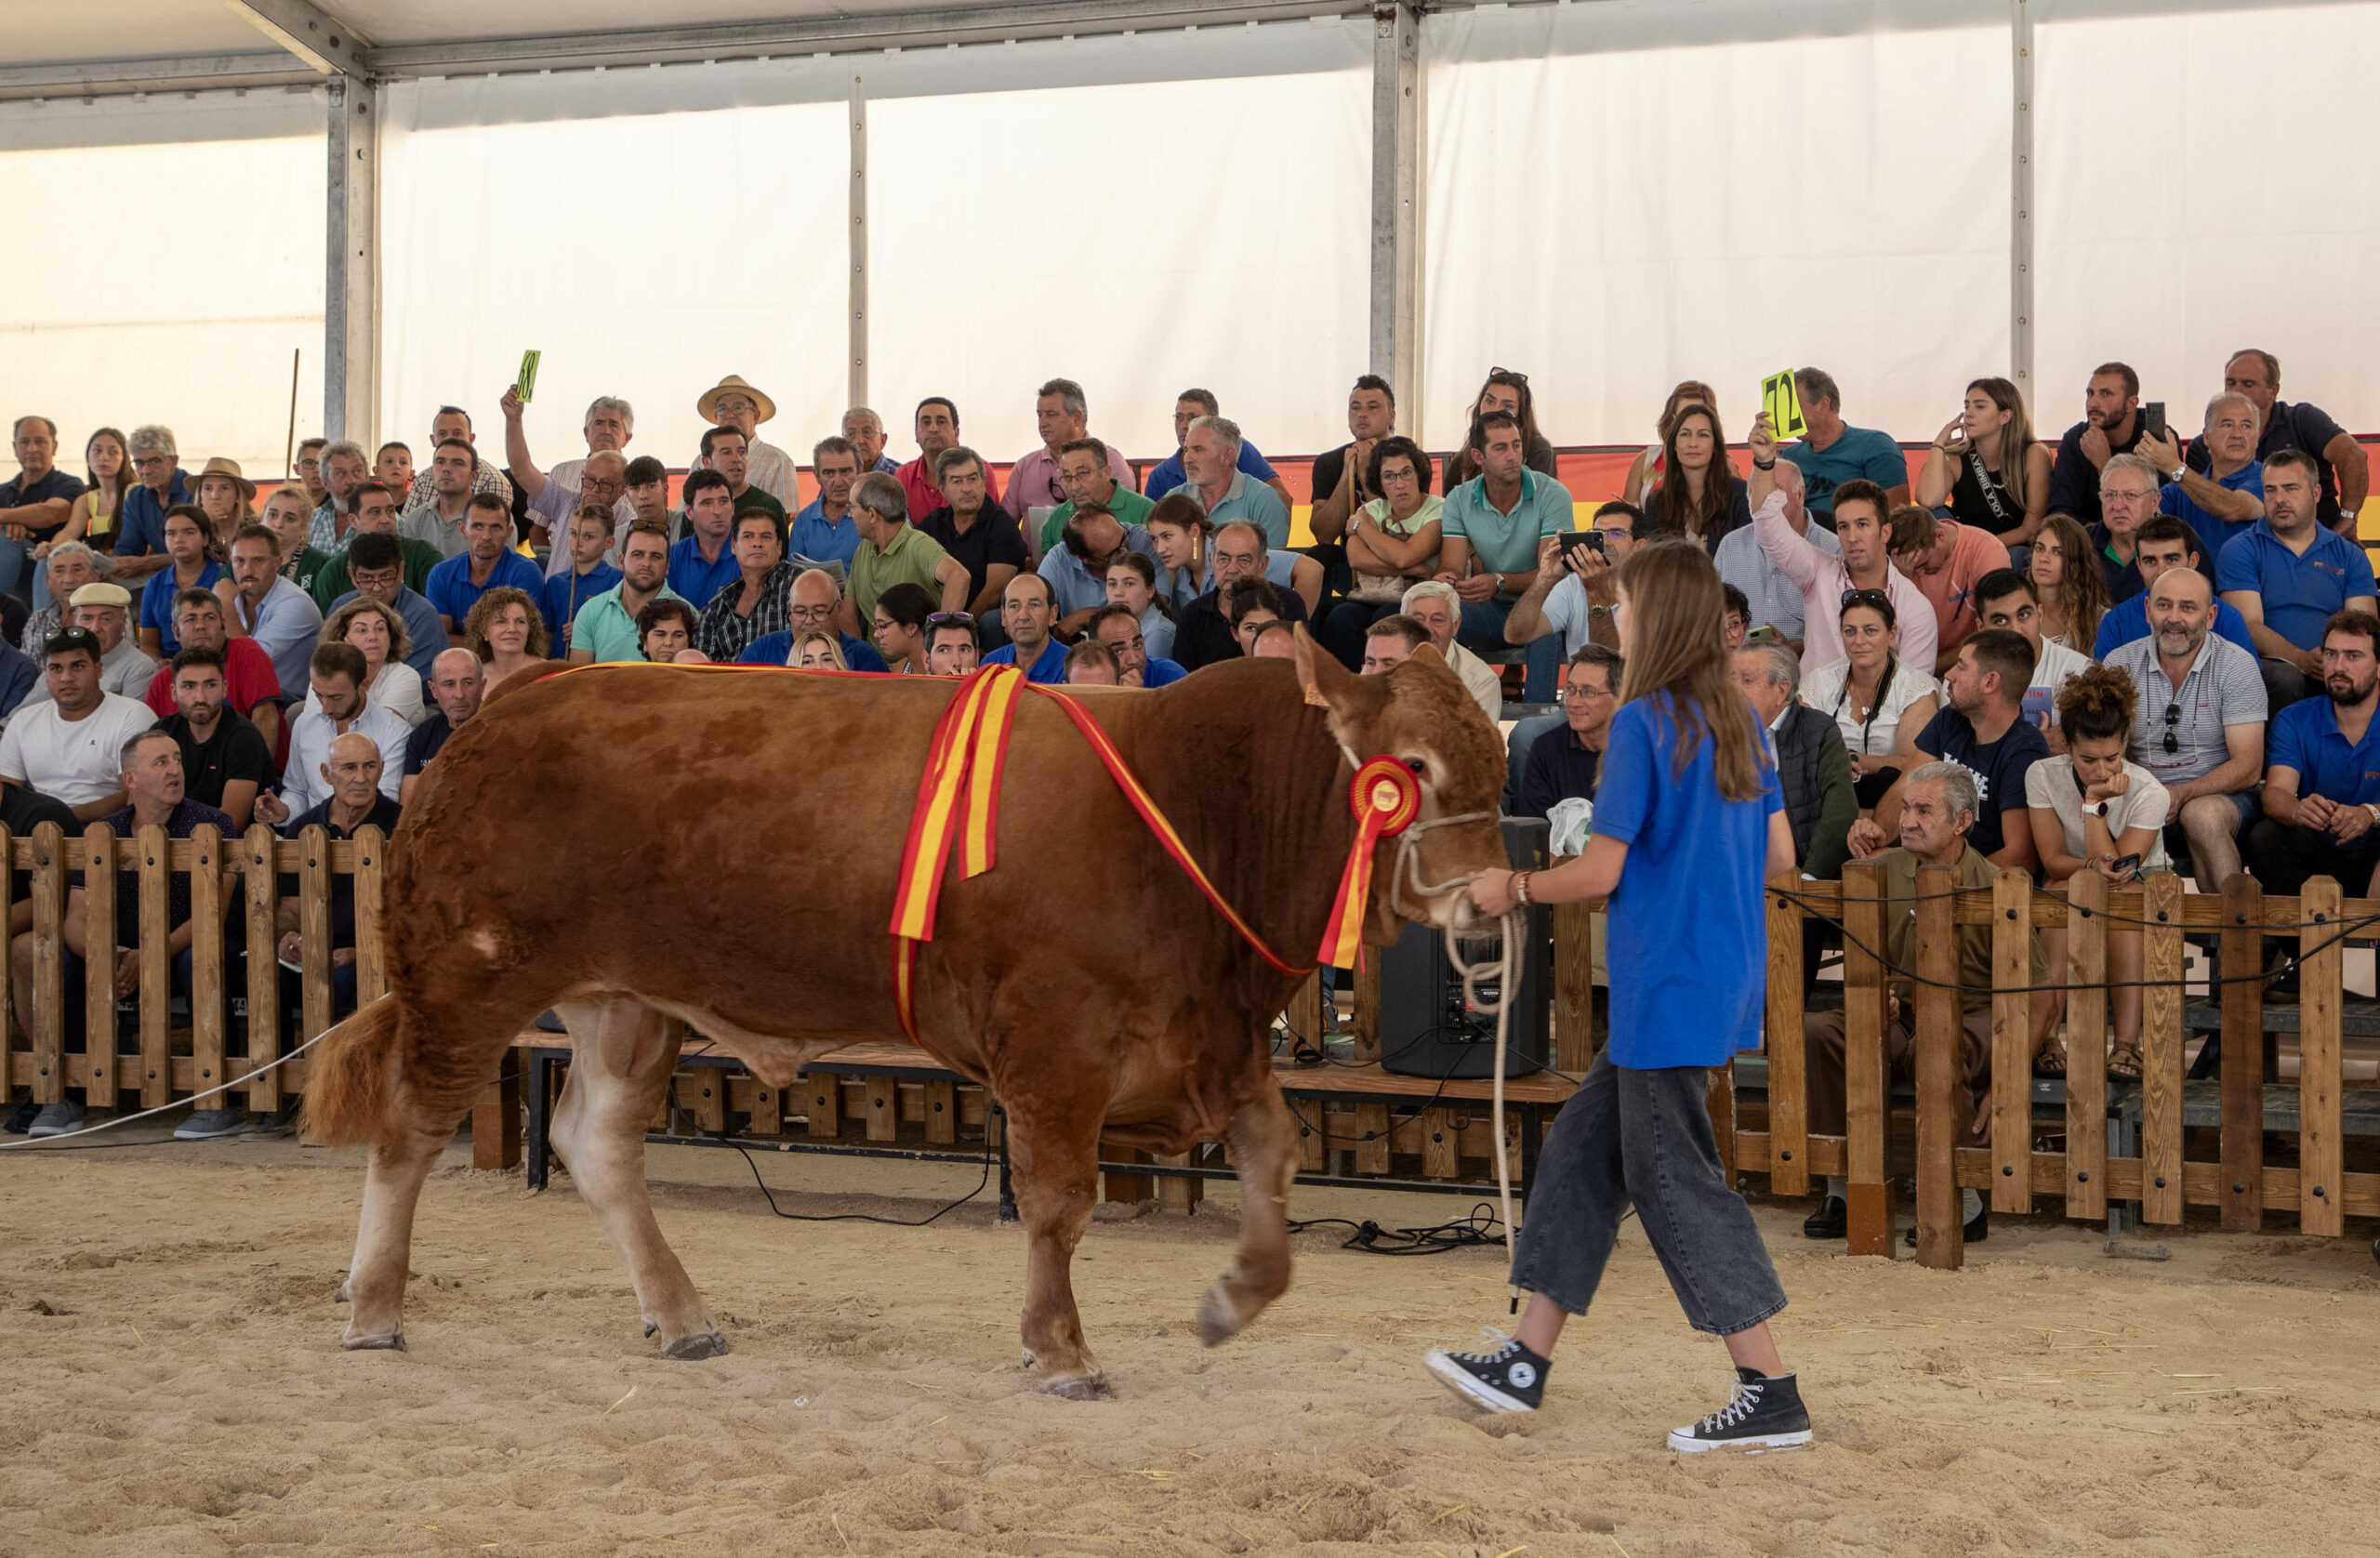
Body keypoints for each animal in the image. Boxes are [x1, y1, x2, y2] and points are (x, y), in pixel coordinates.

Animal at [307, 632, 1503, 1398]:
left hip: (625, 1001)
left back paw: (683, 1316)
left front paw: (1233, 1297)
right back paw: (372, 1308)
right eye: (1413, 768)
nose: (1492, 902)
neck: (1193, 800)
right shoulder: (1057, 1044)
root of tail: (517, 695)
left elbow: (1272, 1160)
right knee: (408, 1130)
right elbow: (1059, 1201)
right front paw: (1060, 1350)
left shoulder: (1210, 1041)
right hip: (470, 978)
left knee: (595, 1142)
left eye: (1494, 763)